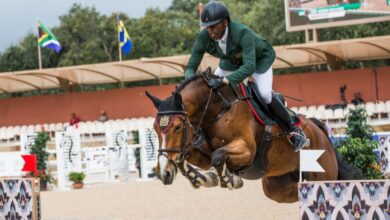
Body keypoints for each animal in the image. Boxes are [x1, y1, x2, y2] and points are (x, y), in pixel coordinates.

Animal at [146, 70, 354, 203]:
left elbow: (218, 156)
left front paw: (230, 180)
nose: (163, 174)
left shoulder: (246, 150)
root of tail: (319, 129)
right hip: (277, 187)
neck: (218, 110)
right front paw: (204, 179)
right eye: (155, 128)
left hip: (322, 176)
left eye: (177, 127)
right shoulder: (201, 154)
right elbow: (185, 159)